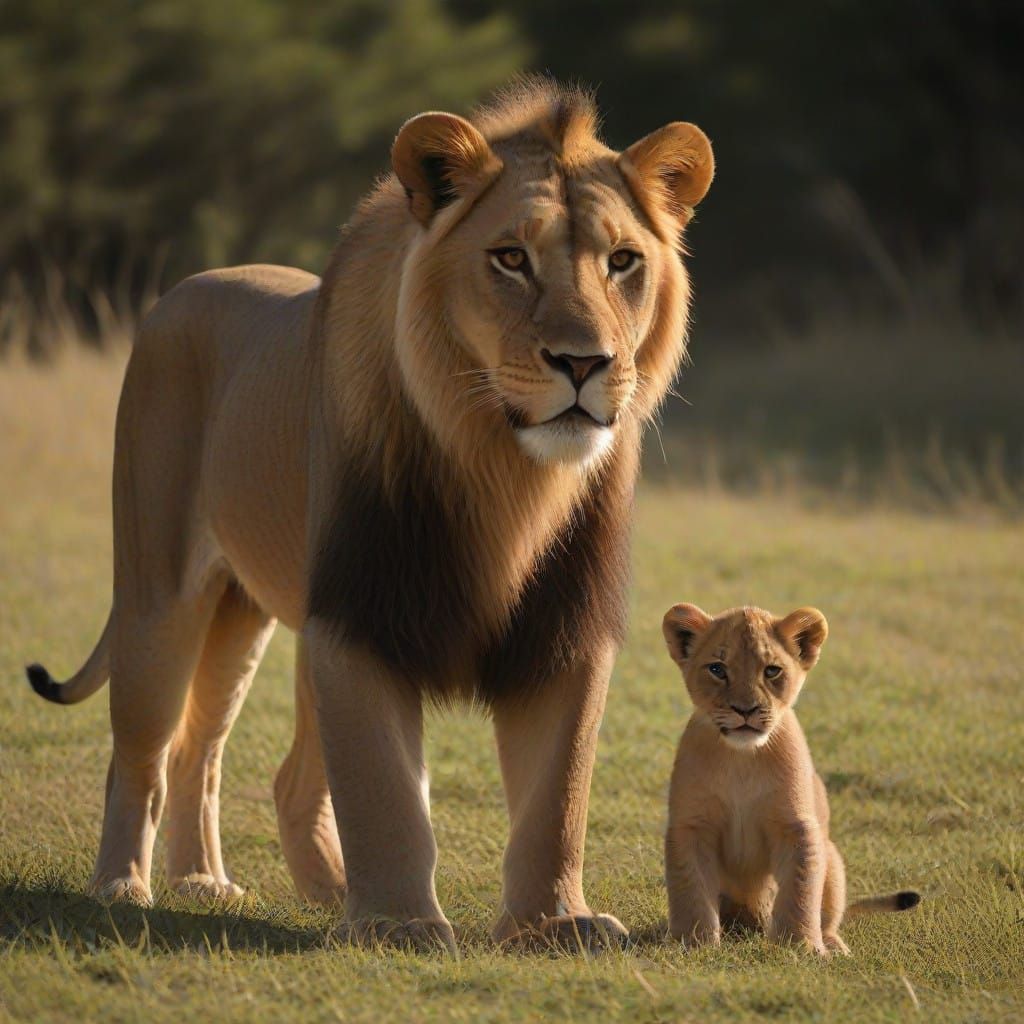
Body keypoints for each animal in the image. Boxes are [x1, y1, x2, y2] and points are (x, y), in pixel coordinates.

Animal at [26, 78, 715, 952]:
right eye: (511, 258)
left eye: (623, 260)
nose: (584, 362)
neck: (505, 473)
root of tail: (183, 288)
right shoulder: (356, 614)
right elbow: (383, 790)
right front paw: (398, 921)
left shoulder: (565, 628)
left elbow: (557, 797)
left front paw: (553, 921)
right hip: (161, 594)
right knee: (144, 749)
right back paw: (124, 885)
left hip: (242, 611)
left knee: (212, 754)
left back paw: (232, 884)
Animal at [662, 603, 920, 956]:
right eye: (717, 668)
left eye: (772, 671)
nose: (745, 710)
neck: (742, 759)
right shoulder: (691, 825)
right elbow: (691, 889)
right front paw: (694, 944)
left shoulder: (794, 825)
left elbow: (800, 890)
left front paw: (801, 948)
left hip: (832, 857)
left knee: (829, 916)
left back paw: (833, 945)